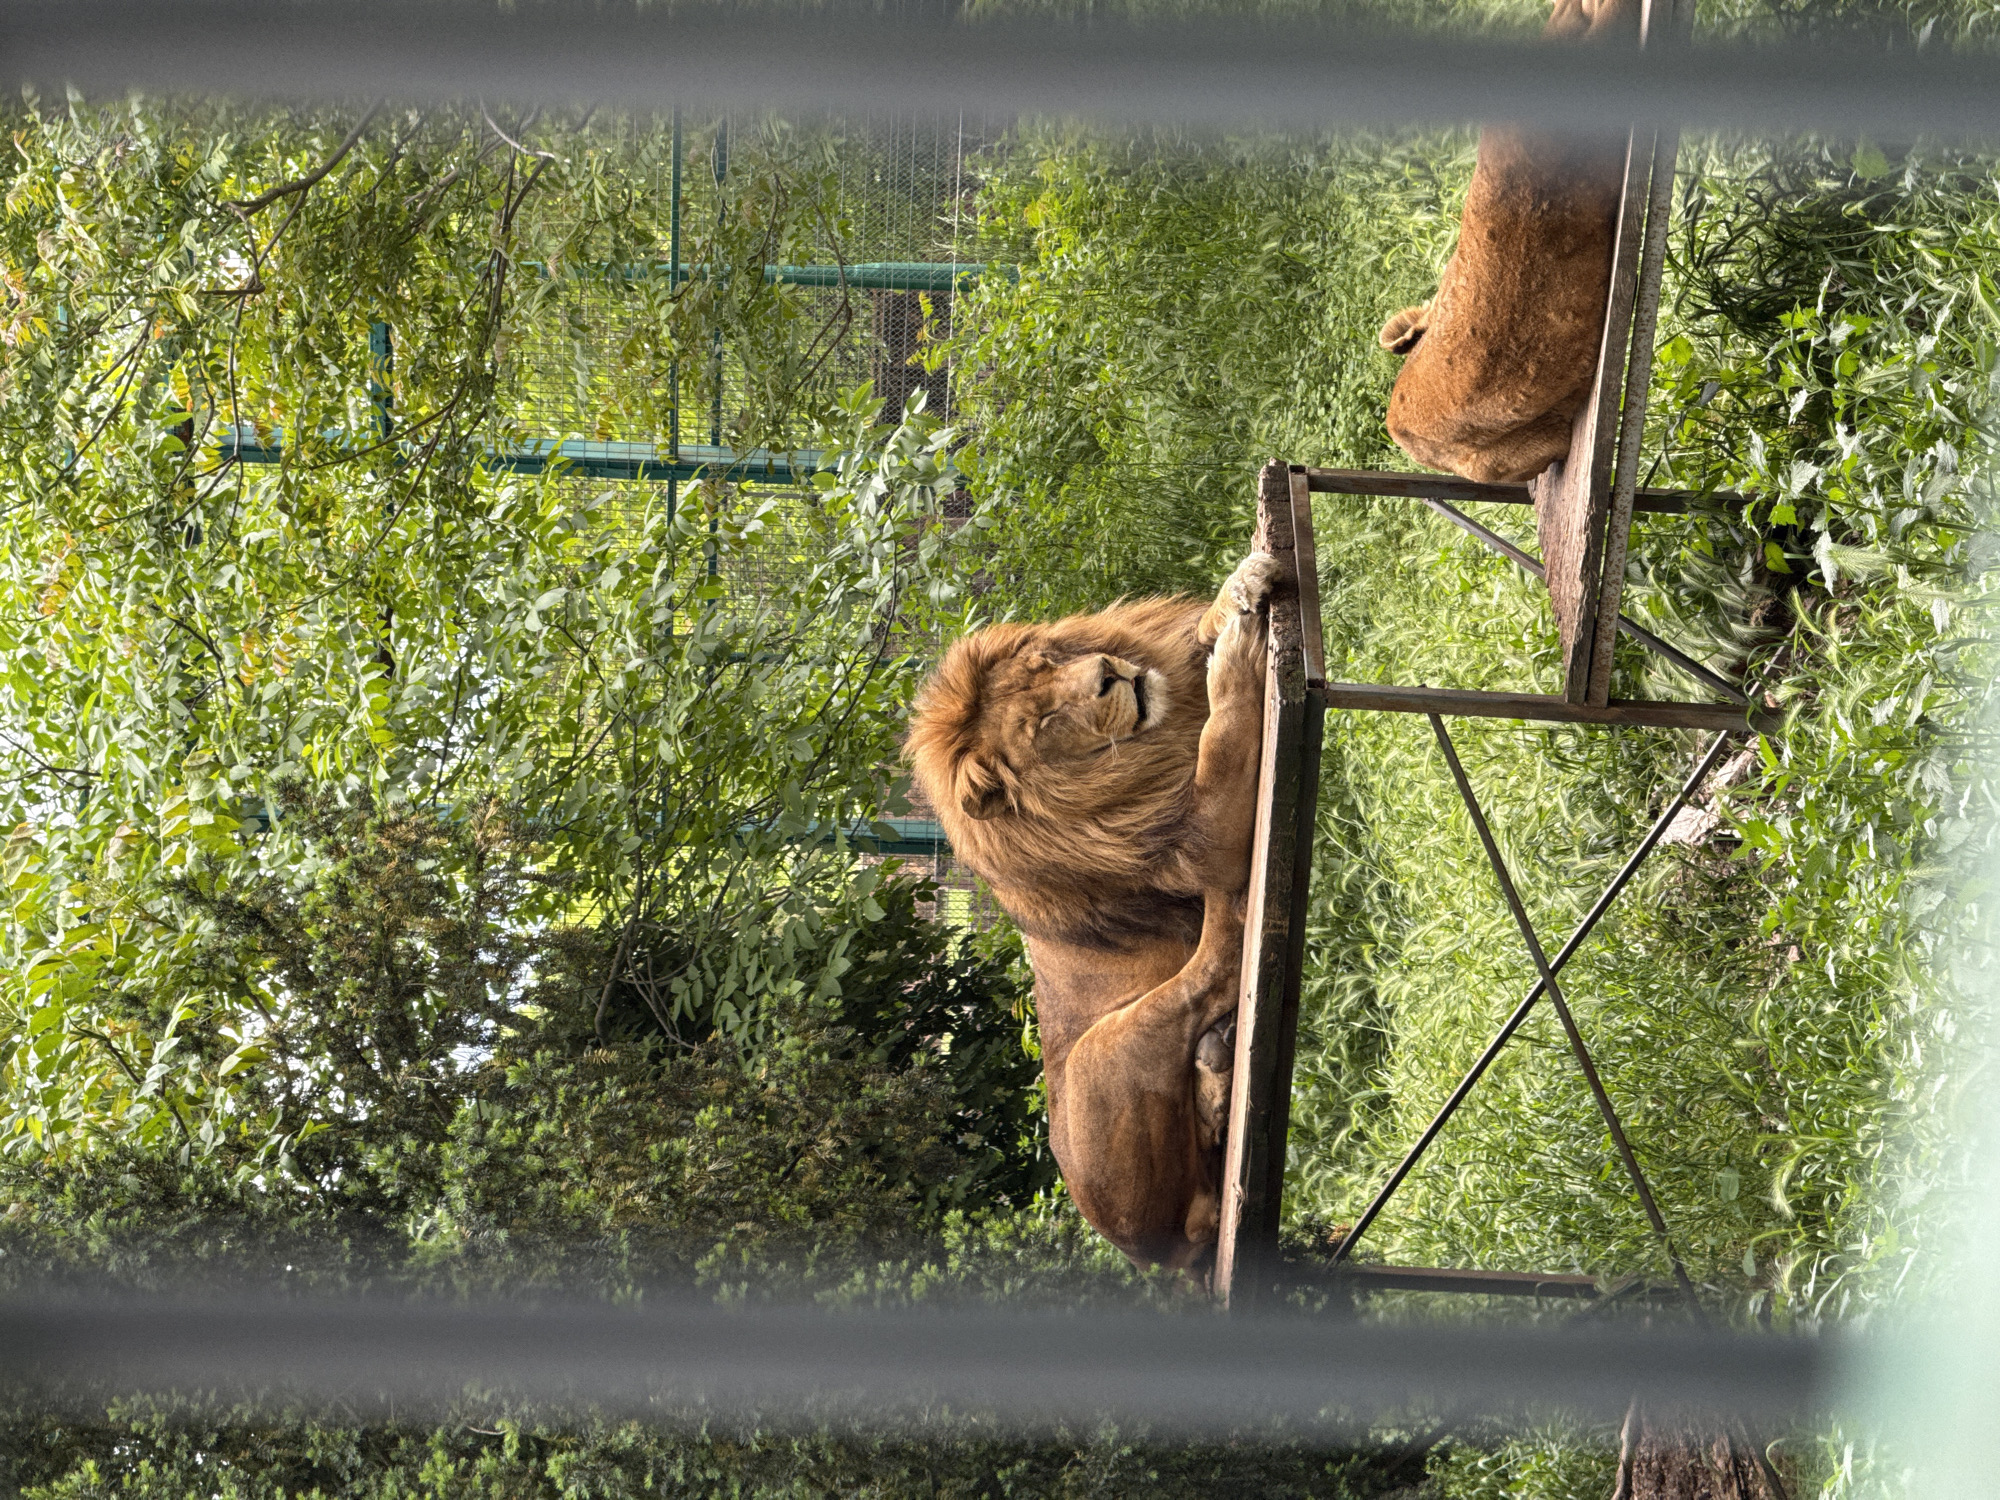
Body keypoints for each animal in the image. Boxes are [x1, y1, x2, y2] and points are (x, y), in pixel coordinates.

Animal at [904, 552, 1280, 1274]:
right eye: (1045, 723)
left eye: (1047, 661)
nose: (1110, 675)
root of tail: (1152, 1257)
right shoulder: (1196, 837)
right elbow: (1222, 739)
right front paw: (1234, 651)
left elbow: (1197, 637)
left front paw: (1233, 598)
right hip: (1097, 1059)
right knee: (1210, 966)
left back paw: (1218, 1070)